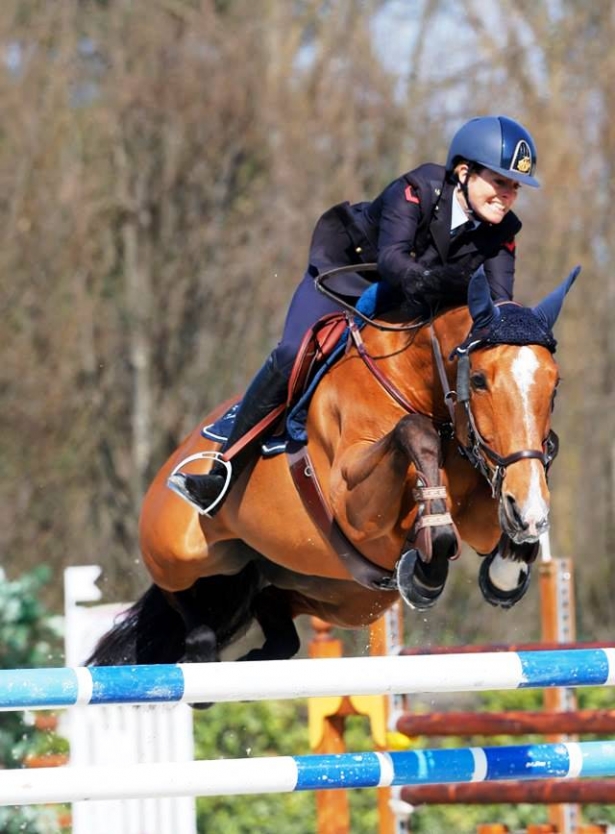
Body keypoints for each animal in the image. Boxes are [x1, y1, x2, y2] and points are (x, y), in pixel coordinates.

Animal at [89, 266, 580, 668]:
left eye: (555, 387)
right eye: (478, 380)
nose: (528, 510)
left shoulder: (480, 510)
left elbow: (518, 490)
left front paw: (508, 567)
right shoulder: (356, 507)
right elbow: (412, 432)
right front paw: (430, 561)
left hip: (340, 595)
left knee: (274, 619)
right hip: (179, 550)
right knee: (185, 605)